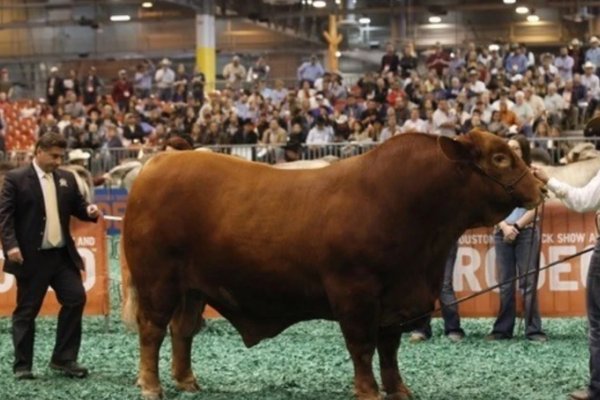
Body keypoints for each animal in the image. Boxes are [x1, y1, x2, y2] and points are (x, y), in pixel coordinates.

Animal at [120, 131, 544, 400]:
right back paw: (151, 386)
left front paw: (398, 389)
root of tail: (162, 160)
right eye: (500, 157)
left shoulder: (398, 300)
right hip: (158, 280)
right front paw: (368, 391)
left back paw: (187, 381)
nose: (540, 187)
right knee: (152, 330)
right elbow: (363, 346)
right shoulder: (355, 294)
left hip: (193, 288)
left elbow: (389, 349)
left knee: (183, 330)